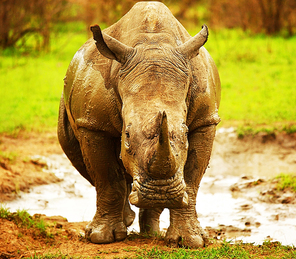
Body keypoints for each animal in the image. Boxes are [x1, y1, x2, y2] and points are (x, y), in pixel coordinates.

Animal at [57, 2, 220, 250]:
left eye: (185, 133)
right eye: (126, 135)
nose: (160, 193)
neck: (153, 43)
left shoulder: (206, 119)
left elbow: (192, 179)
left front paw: (190, 240)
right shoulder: (94, 124)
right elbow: (107, 178)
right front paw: (101, 238)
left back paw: (150, 230)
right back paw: (127, 220)